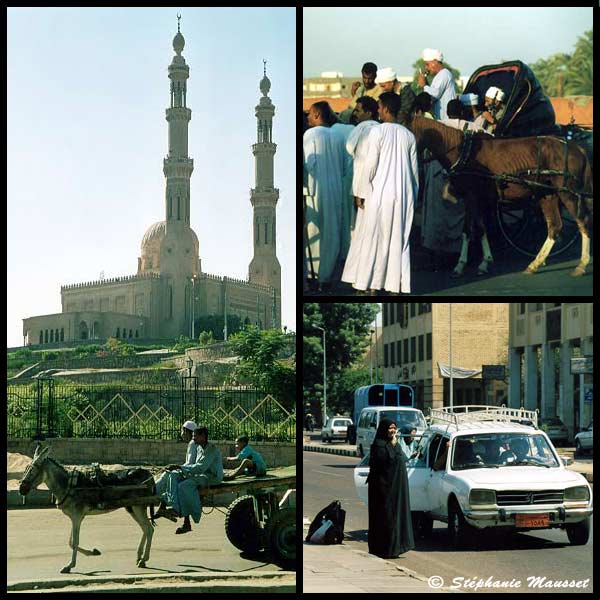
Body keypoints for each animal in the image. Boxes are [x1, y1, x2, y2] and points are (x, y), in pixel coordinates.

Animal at [19, 446, 157, 572]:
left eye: (32, 470)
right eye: (25, 469)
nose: (21, 490)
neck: (68, 484)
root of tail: (149, 474)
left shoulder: (77, 516)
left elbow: (74, 542)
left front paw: (70, 566)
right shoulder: (76, 517)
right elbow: (70, 542)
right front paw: (93, 552)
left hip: (138, 507)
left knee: (149, 529)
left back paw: (144, 559)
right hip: (132, 507)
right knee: (145, 528)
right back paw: (139, 557)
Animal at [406, 115, 592, 276]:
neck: (464, 152)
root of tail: (578, 148)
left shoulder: (473, 197)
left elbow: (476, 229)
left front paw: (473, 263)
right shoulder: (472, 198)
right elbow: (472, 229)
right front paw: (472, 263)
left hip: (567, 193)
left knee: (582, 222)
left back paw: (582, 264)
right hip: (547, 194)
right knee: (555, 225)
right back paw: (535, 263)